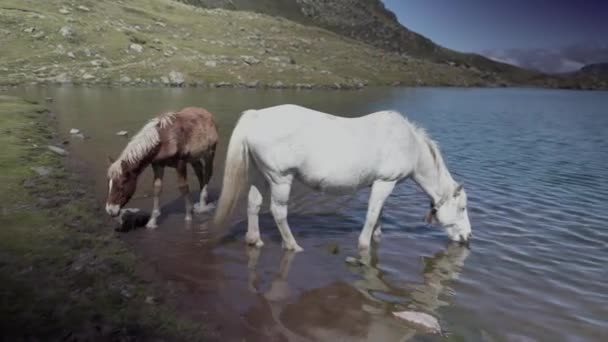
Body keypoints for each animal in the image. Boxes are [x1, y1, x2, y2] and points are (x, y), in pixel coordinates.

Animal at [216, 104, 472, 251]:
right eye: (461, 208)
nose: (468, 237)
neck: (410, 145)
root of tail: (255, 117)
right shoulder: (385, 183)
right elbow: (371, 215)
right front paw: (364, 245)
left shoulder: (380, 184)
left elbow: (379, 213)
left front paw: (377, 235)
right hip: (280, 178)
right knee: (278, 212)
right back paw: (292, 245)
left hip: (261, 174)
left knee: (253, 203)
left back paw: (254, 239)